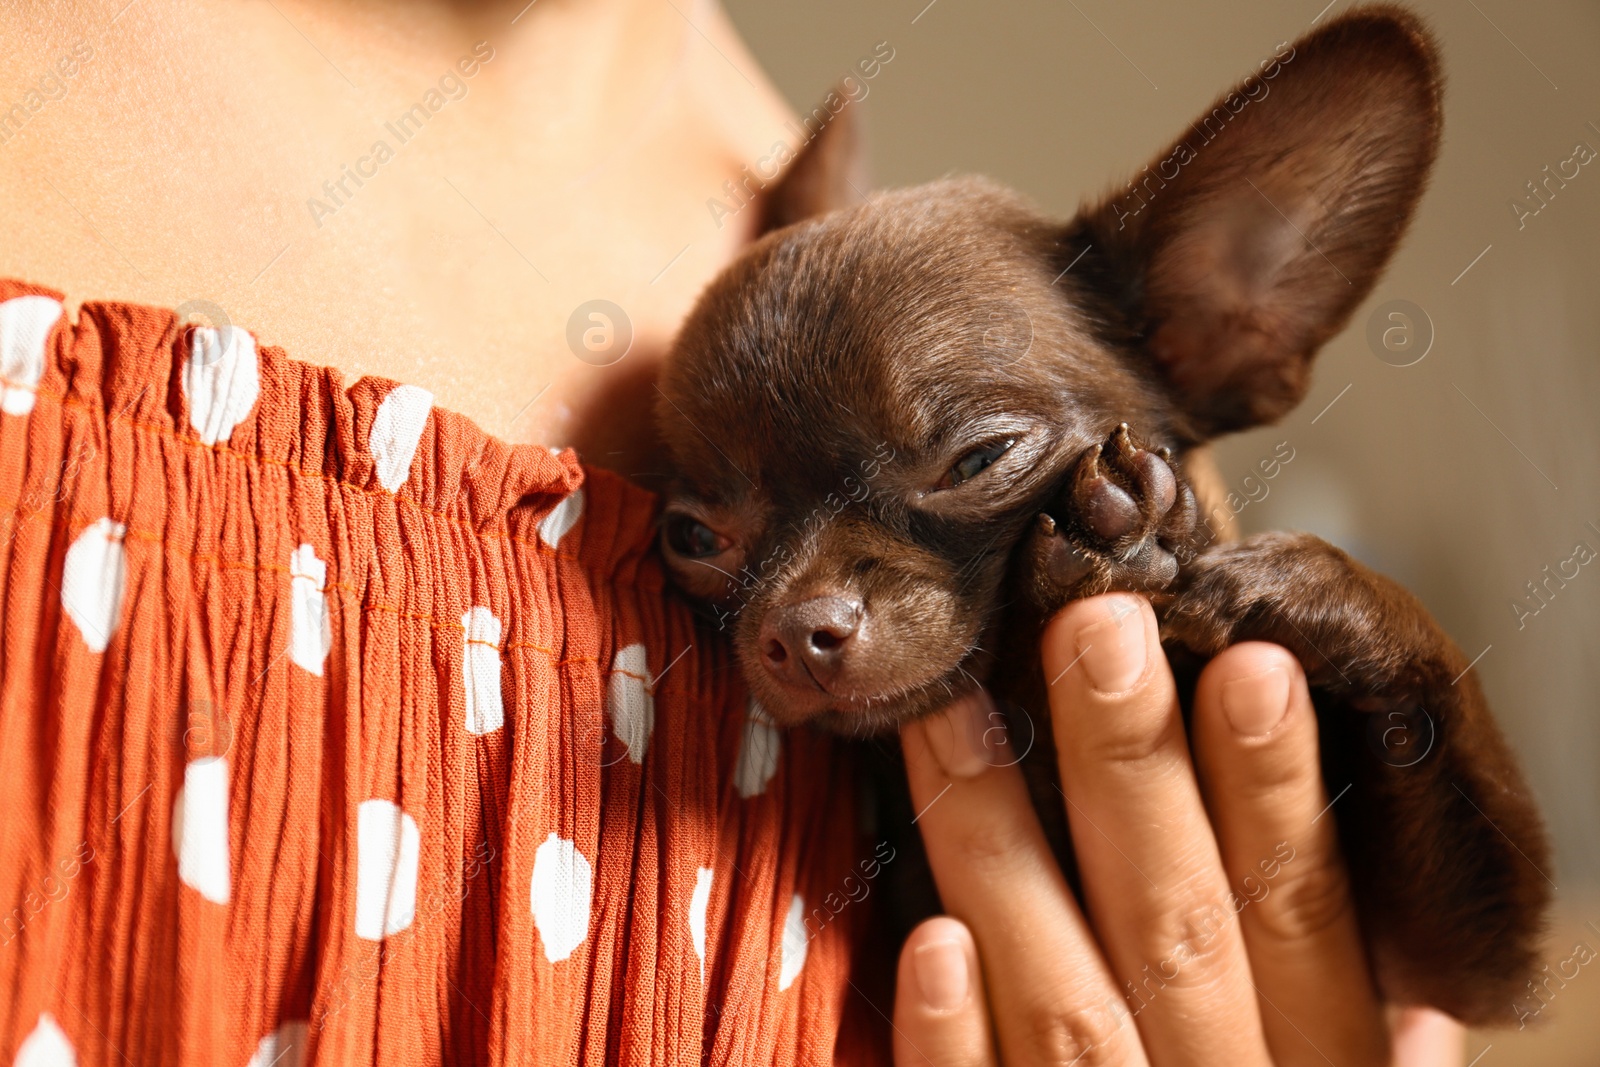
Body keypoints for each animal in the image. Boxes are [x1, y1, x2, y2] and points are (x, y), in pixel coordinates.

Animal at [652, 6, 1548, 1023]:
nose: (797, 629)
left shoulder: (1447, 970)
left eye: (980, 459)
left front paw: (1316, 583)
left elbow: (1449, 693)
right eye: (694, 539)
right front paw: (1100, 549)